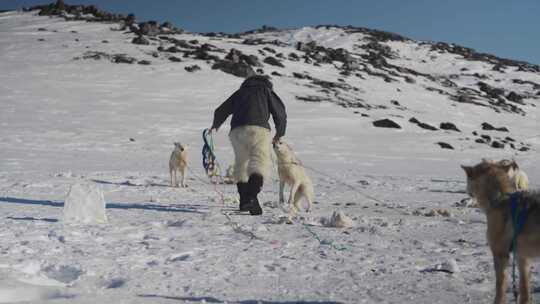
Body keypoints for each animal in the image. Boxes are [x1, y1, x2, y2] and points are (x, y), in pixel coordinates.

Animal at [460, 160, 540, 302]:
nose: (466, 193)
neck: (500, 198)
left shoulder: (500, 254)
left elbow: (500, 289)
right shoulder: (523, 257)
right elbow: (525, 294)